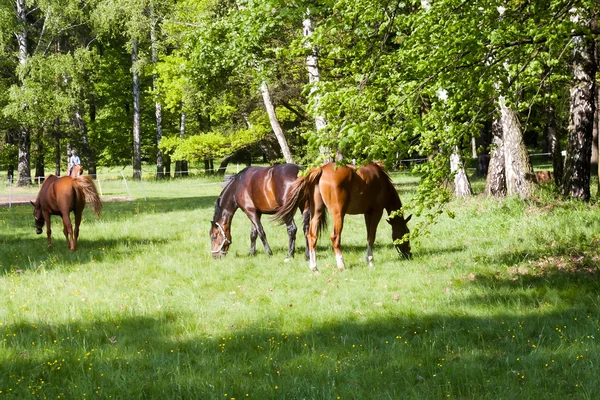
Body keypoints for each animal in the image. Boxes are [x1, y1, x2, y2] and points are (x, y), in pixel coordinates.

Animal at [274, 162, 410, 272]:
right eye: (407, 233)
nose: (409, 254)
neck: (381, 181)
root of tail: (321, 170)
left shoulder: (367, 214)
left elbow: (368, 236)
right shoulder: (376, 212)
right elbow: (371, 237)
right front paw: (370, 261)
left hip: (317, 212)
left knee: (312, 236)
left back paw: (314, 267)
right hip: (339, 215)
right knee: (335, 237)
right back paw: (341, 264)